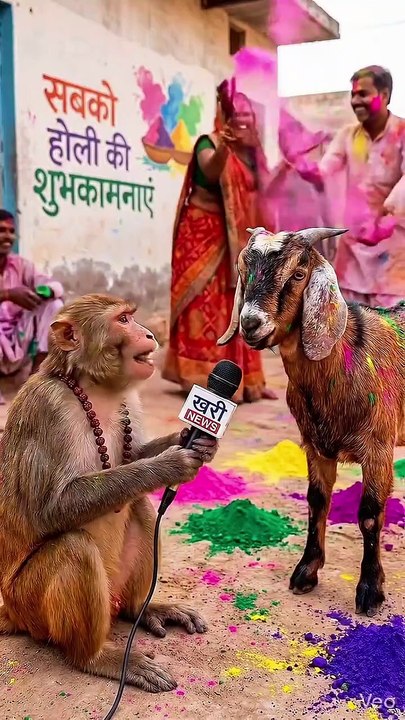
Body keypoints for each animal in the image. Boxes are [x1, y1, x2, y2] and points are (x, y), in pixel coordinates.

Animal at [0, 293, 218, 693]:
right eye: (123, 320)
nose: (149, 333)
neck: (93, 387)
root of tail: (14, 613)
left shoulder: (129, 401)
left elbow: (135, 455)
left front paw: (192, 438)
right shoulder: (47, 407)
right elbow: (50, 509)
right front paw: (170, 464)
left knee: (141, 506)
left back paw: (142, 609)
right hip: (30, 606)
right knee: (75, 548)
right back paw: (99, 657)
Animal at [218, 226, 405, 617]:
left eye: (298, 274)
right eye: (244, 270)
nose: (250, 323)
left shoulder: (379, 448)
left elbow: (369, 514)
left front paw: (370, 591)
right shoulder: (316, 446)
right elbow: (317, 500)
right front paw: (305, 572)